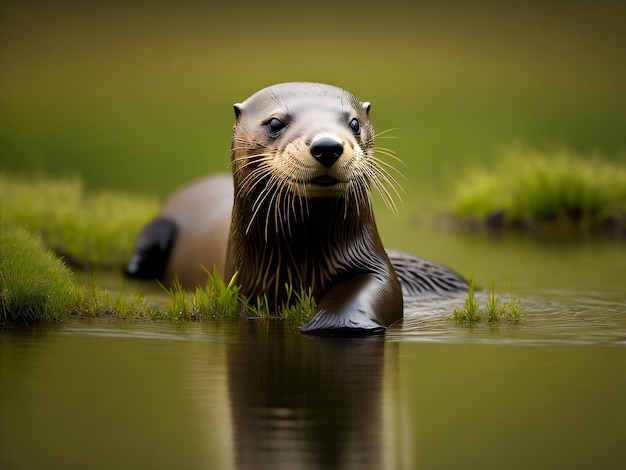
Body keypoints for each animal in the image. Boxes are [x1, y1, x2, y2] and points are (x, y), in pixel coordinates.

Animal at [124, 83, 466, 334]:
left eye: (355, 123)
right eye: (275, 122)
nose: (327, 146)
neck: (303, 261)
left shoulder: (374, 262)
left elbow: (375, 291)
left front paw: (336, 324)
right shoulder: (244, 280)